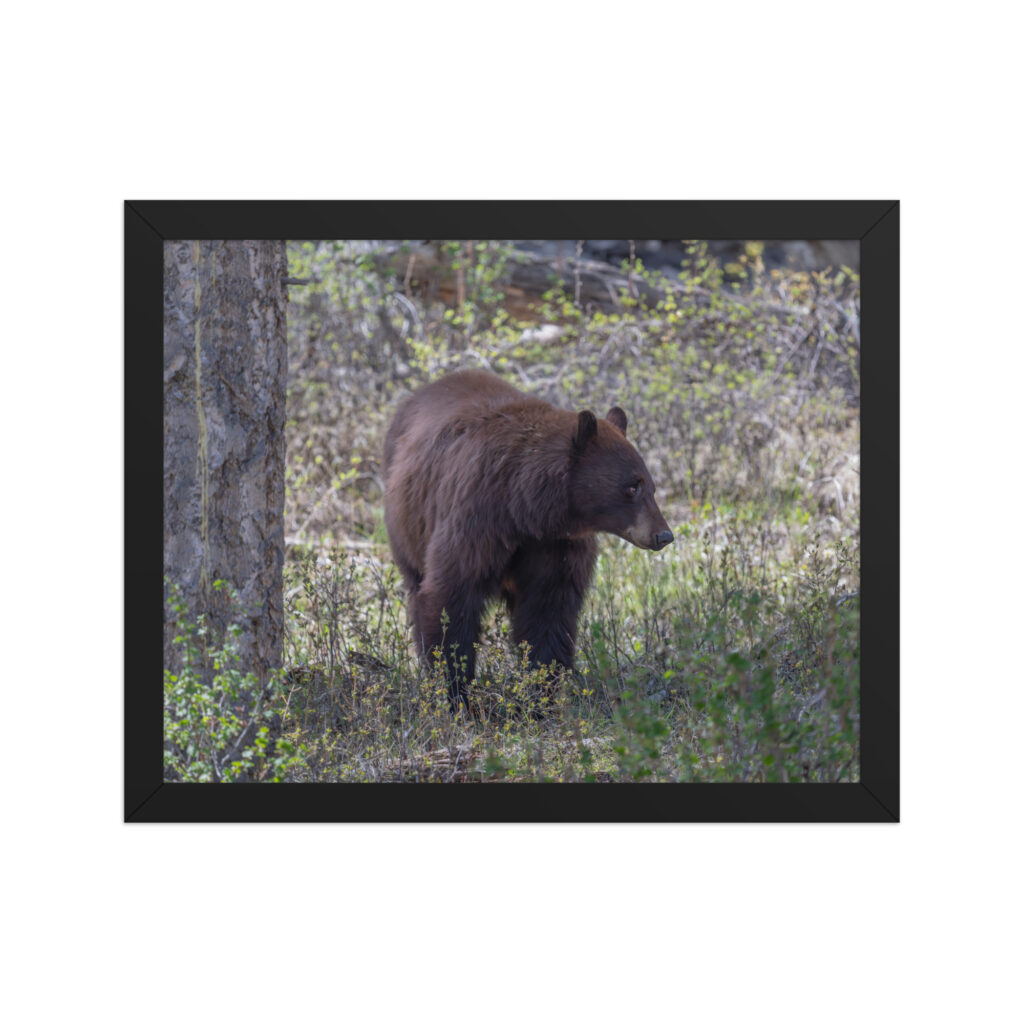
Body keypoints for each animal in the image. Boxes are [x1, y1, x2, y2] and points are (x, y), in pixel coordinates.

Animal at [382, 368, 673, 711]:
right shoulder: (476, 519)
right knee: (417, 588)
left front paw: (539, 696)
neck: (525, 509)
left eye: (651, 486)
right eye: (632, 486)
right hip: (407, 526)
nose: (664, 535)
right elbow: (451, 597)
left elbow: (548, 611)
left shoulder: (556, 545)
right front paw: (457, 695)